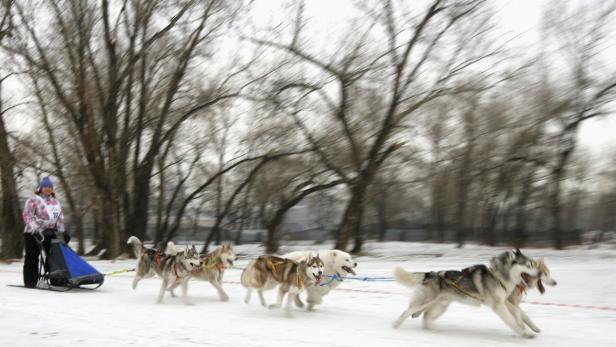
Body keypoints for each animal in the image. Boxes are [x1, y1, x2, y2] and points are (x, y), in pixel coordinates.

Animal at [394, 249, 540, 338]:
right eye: (528, 265)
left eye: (533, 264)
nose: (539, 273)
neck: (499, 277)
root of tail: (431, 274)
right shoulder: (499, 305)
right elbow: (512, 321)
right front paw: (524, 333)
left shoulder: (506, 302)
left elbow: (520, 315)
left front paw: (531, 328)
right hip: (425, 302)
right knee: (406, 313)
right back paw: (395, 326)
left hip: (439, 306)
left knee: (426, 317)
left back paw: (434, 331)